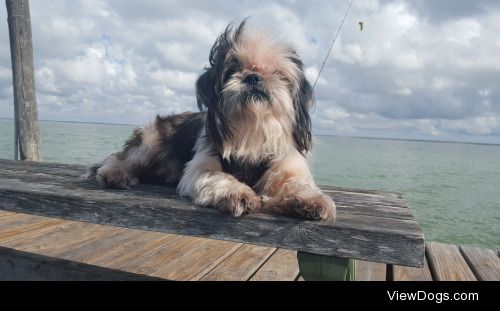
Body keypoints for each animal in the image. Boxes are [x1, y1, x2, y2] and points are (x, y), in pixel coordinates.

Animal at [85, 20, 336, 222]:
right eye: (233, 69)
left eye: (277, 72)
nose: (254, 77)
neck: (252, 129)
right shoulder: (202, 166)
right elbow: (220, 177)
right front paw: (239, 193)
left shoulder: (285, 166)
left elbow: (294, 184)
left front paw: (308, 200)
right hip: (149, 143)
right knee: (120, 159)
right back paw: (114, 175)